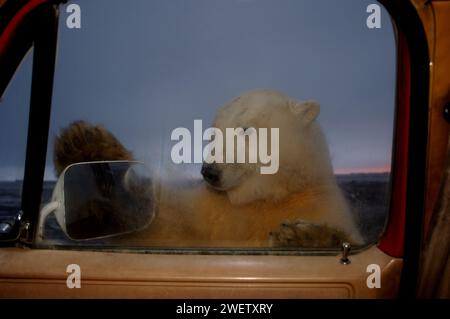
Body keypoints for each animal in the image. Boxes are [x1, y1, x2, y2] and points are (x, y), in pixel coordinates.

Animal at [52, 89, 364, 249]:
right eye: (213, 133)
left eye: (245, 129)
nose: (209, 172)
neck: (265, 199)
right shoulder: (212, 216)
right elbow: (161, 226)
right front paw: (88, 151)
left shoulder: (320, 204)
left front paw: (301, 236)